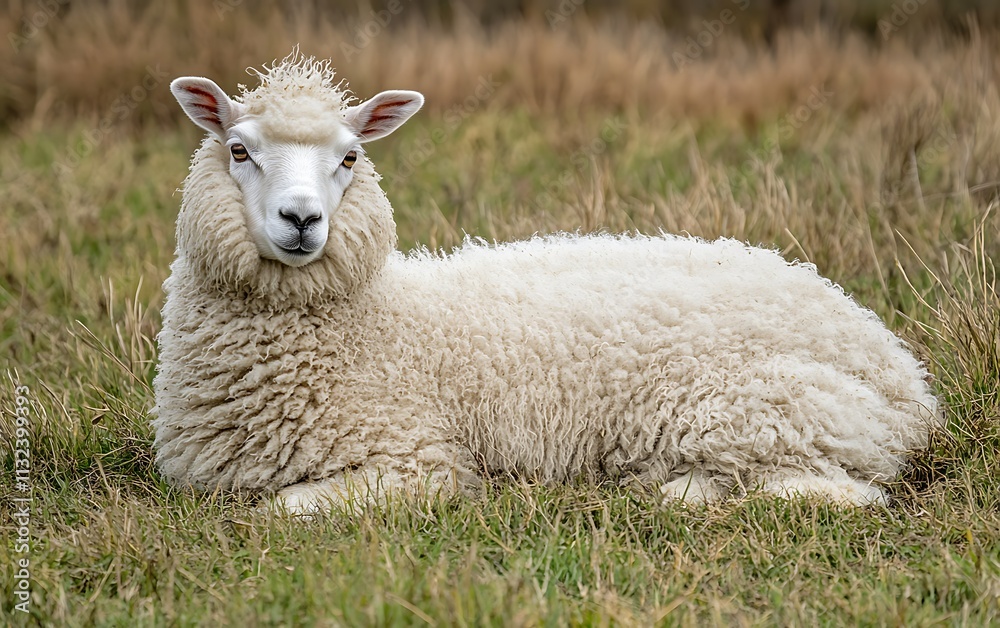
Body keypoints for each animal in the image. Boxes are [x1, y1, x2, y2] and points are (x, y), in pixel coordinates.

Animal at [154, 52, 941, 514]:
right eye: (238, 149)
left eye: (349, 157)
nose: (301, 219)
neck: (377, 320)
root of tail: (899, 369)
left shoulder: (418, 461)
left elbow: (279, 510)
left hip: (771, 408)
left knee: (841, 493)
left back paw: (676, 486)